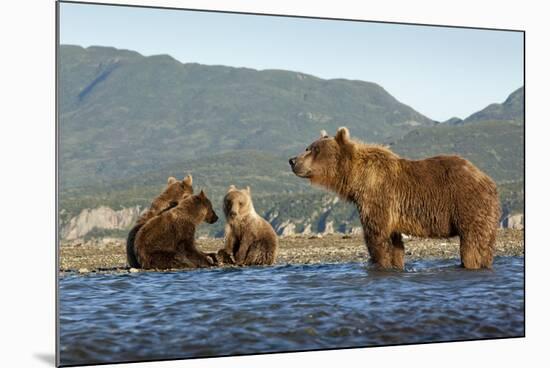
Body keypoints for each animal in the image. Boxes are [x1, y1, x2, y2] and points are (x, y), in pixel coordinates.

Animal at [292, 127, 502, 270]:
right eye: (307, 147)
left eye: (314, 150)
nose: (292, 160)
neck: (355, 178)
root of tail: (488, 180)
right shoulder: (391, 212)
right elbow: (394, 243)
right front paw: (396, 265)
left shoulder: (378, 197)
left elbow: (377, 237)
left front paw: (379, 264)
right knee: (486, 246)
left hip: (468, 204)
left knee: (472, 244)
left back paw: (469, 264)